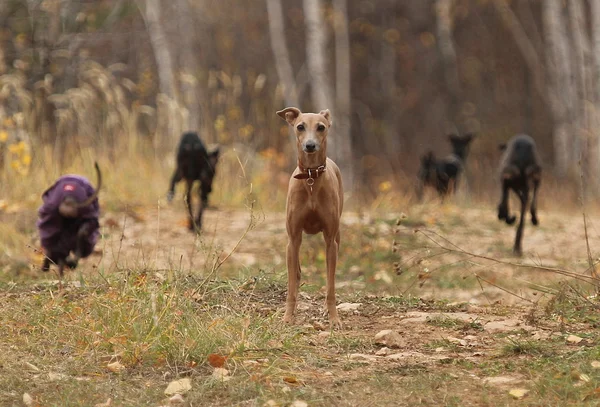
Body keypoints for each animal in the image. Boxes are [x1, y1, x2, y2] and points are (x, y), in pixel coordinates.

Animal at [276, 107, 342, 328]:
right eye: (300, 126)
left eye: (321, 127)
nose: (310, 145)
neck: (311, 178)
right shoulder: (293, 238)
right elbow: (290, 287)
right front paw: (288, 317)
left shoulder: (330, 241)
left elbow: (330, 286)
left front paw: (333, 317)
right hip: (292, 245)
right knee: (295, 273)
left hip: (337, 235)